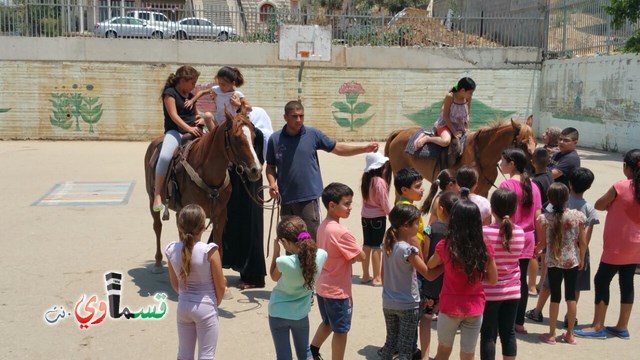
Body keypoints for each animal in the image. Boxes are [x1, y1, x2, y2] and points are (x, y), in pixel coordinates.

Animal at [144, 111, 262, 272]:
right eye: (237, 138)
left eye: (254, 136)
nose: (256, 170)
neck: (206, 172)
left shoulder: (220, 215)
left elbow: (218, 248)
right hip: (151, 199)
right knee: (157, 227)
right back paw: (157, 262)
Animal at [384, 117, 536, 197]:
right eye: (521, 144)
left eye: (535, 142)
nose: (532, 170)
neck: (482, 156)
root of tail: (399, 133)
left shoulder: (483, 192)